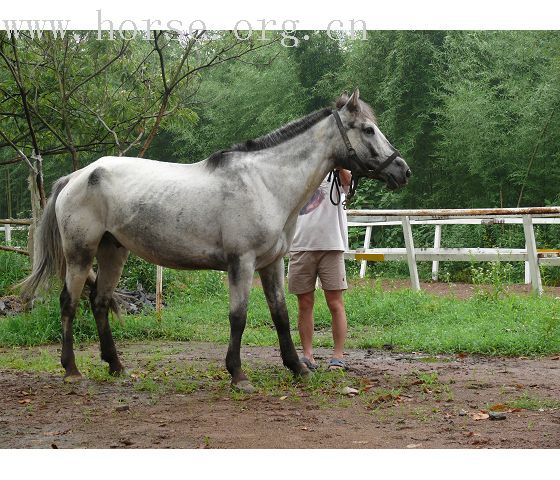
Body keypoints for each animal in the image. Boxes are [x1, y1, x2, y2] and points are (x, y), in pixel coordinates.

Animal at [19, 88, 410, 392]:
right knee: (69, 303)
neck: (265, 182)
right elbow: (238, 316)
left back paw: (117, 367)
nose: (402, 170)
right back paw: (72, 370)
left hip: (113, 251)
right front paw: (238, 374)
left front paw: (298, 368)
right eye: (368, 129)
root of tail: (76, 176)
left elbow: (280, 314)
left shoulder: (271, 264)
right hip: (80, 255)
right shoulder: (242, 263)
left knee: (99, 303)